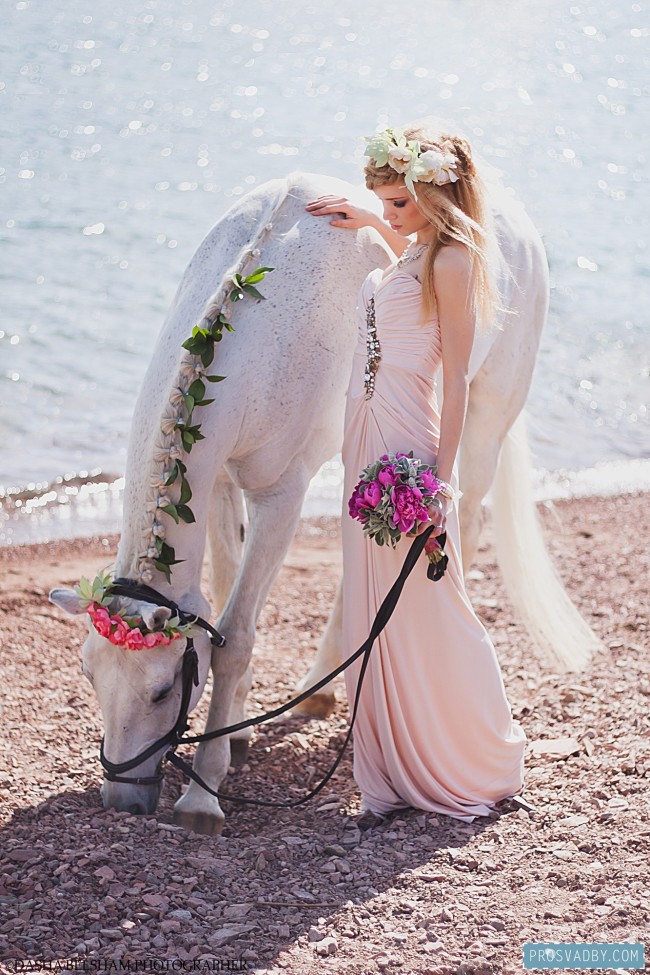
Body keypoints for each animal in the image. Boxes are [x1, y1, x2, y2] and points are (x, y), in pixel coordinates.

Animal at [50, 170, 601, 836]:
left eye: (160, 692)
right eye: (89, 675)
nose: (122, 801)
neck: (254, 331)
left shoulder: (281, 494)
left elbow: (237, 636)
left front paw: (203, 793)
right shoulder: (218, 485)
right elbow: (224, 610)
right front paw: (235, 736)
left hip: (485, 416)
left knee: (461, 520)